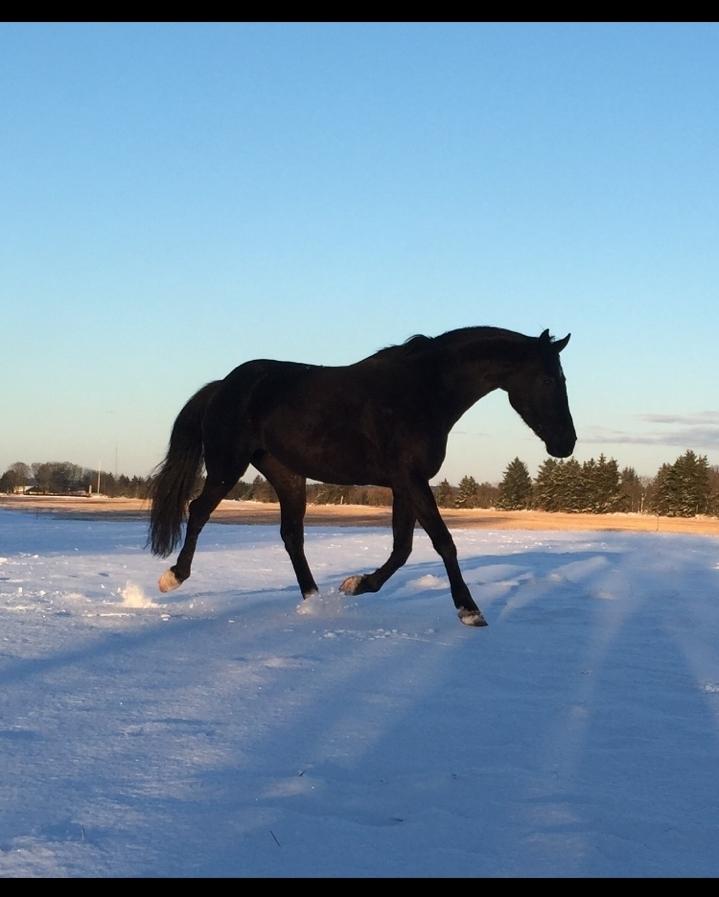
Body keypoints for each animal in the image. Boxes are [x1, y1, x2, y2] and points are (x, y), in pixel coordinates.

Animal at [149, 326, 576, 628]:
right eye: (549, 380)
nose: (566, 443)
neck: (424, 391)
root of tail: (223, 386)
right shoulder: (410, 479)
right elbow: (442, 542)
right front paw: (470, 610)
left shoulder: (405, 484)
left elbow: (403, 549)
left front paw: (357, 584)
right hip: (227, 467)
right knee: (198, 511)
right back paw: (173, 577)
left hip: (287, 476)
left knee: (291, 536)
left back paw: (315, 600)